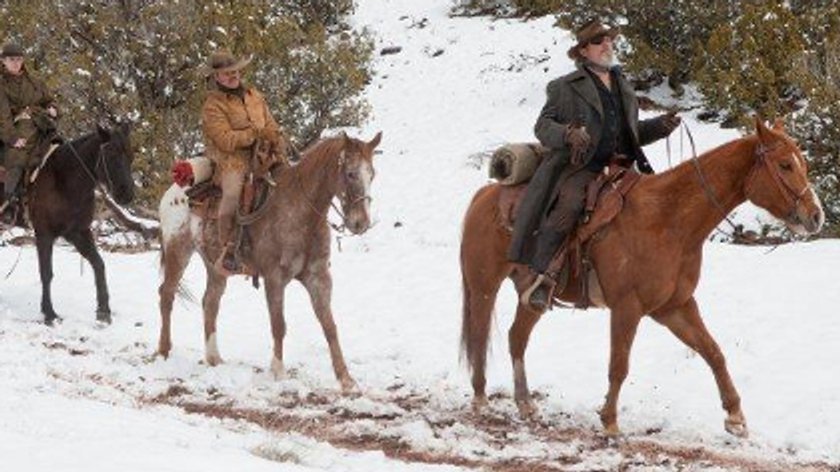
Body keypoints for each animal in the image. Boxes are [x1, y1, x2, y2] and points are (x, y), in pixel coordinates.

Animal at [5, 123, 136, 326]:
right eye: (111, 154)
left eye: (130, 156)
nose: (127, 194)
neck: (64, 180)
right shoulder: (44, 234)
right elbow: (46, 273)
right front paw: (49, 313)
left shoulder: (77, 232)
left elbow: (99, 264)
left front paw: (104, 311)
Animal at [156, 131, 382, 392]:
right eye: (351, 173)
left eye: (372, 174)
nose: (360, 223)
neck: (299, 210)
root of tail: (174, 191)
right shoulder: (275, 279)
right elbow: (279, 325)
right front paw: (278, 372)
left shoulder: (318, 278)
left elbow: (329, 326)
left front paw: (346, 379)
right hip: (178, 250)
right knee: (167, 294)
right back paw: (163, 351)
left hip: (215, 267)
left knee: (210, 302)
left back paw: (214, 358)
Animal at [456, 118, 824, 436]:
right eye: (785, 165)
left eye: (801, 163)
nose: (815, 216)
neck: (667, 219)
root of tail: (483, 196)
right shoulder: (627, 307)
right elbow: (619, 364)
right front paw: (610, 421)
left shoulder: (674, 307)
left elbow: (713, 351)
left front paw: (735, 417)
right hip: (484, 286)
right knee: (479, 335)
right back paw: (480, 399)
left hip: (532, 296)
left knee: (516, 338)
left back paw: (525, 403)